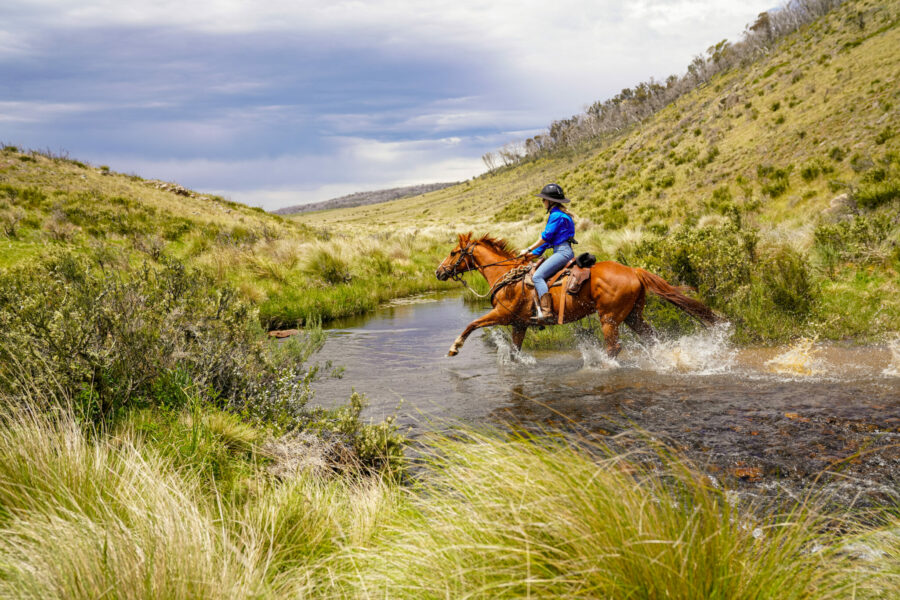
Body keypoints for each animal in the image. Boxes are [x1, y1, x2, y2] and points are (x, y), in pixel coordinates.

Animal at [435, 232, 720, 358]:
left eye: (453, 253)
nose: (438, 272)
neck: (507, 276)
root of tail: (633, 271)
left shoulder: (502, 315)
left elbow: (472, 324)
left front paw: (454, 348)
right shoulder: (519, 324)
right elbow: (515, 353)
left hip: (609, 319)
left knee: (613, 348)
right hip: (633, 316)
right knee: (651, 339)